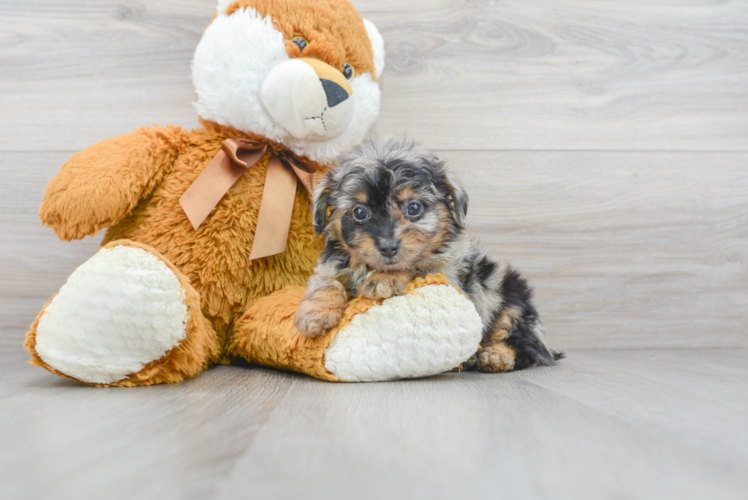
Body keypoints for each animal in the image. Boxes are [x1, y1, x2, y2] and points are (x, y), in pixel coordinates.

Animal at [296, 137, 564, 372]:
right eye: (359, 212)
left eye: (413, 208)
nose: (388, 247)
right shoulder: (329, 266)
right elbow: (326, 283)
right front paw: (314, 314)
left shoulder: (447, 270)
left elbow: (418, 264)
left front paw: (386, 279)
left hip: (509, 298)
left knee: (527, 345)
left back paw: (496, 355)